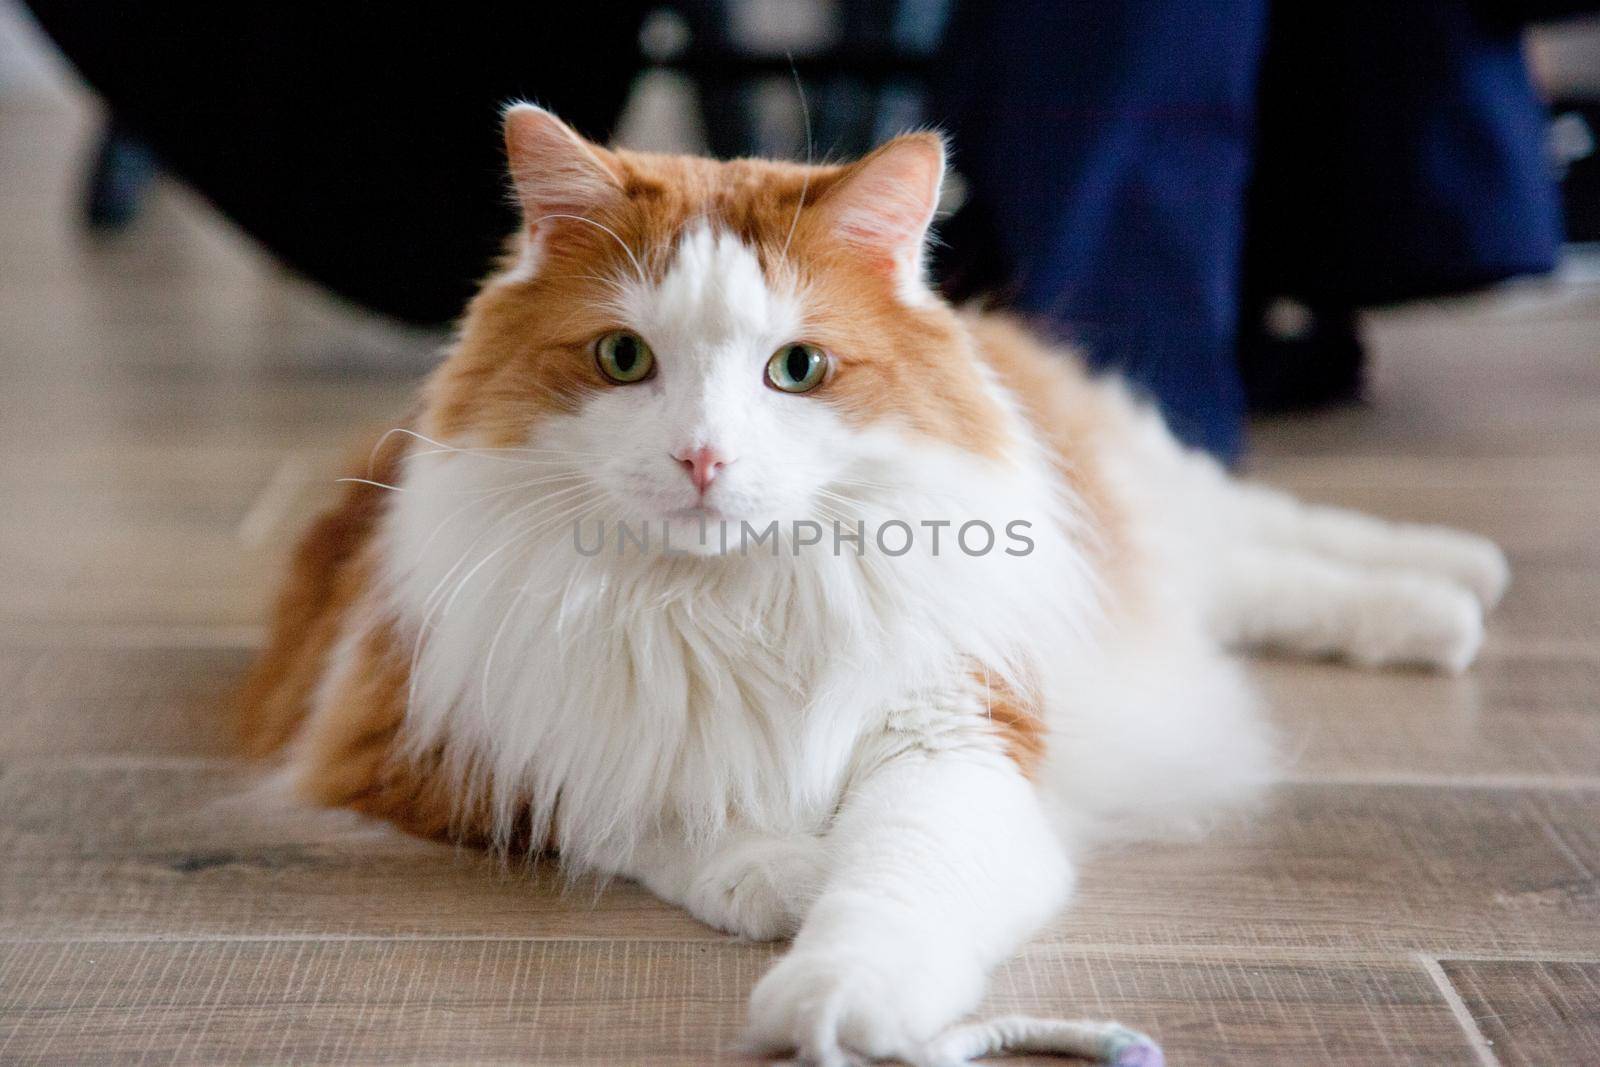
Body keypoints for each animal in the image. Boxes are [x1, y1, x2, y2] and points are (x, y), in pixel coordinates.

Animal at [233, 102, 1497, 1067]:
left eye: (796, 369)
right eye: (623, 359)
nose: (702, 458)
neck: (723, 597)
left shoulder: (958, 727)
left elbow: (894, 880)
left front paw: (838, 991)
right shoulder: (430, 734)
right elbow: (650, 802)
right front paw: (786, 874)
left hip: (1139, 508)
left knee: (1270, 540)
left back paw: (1451, 587)